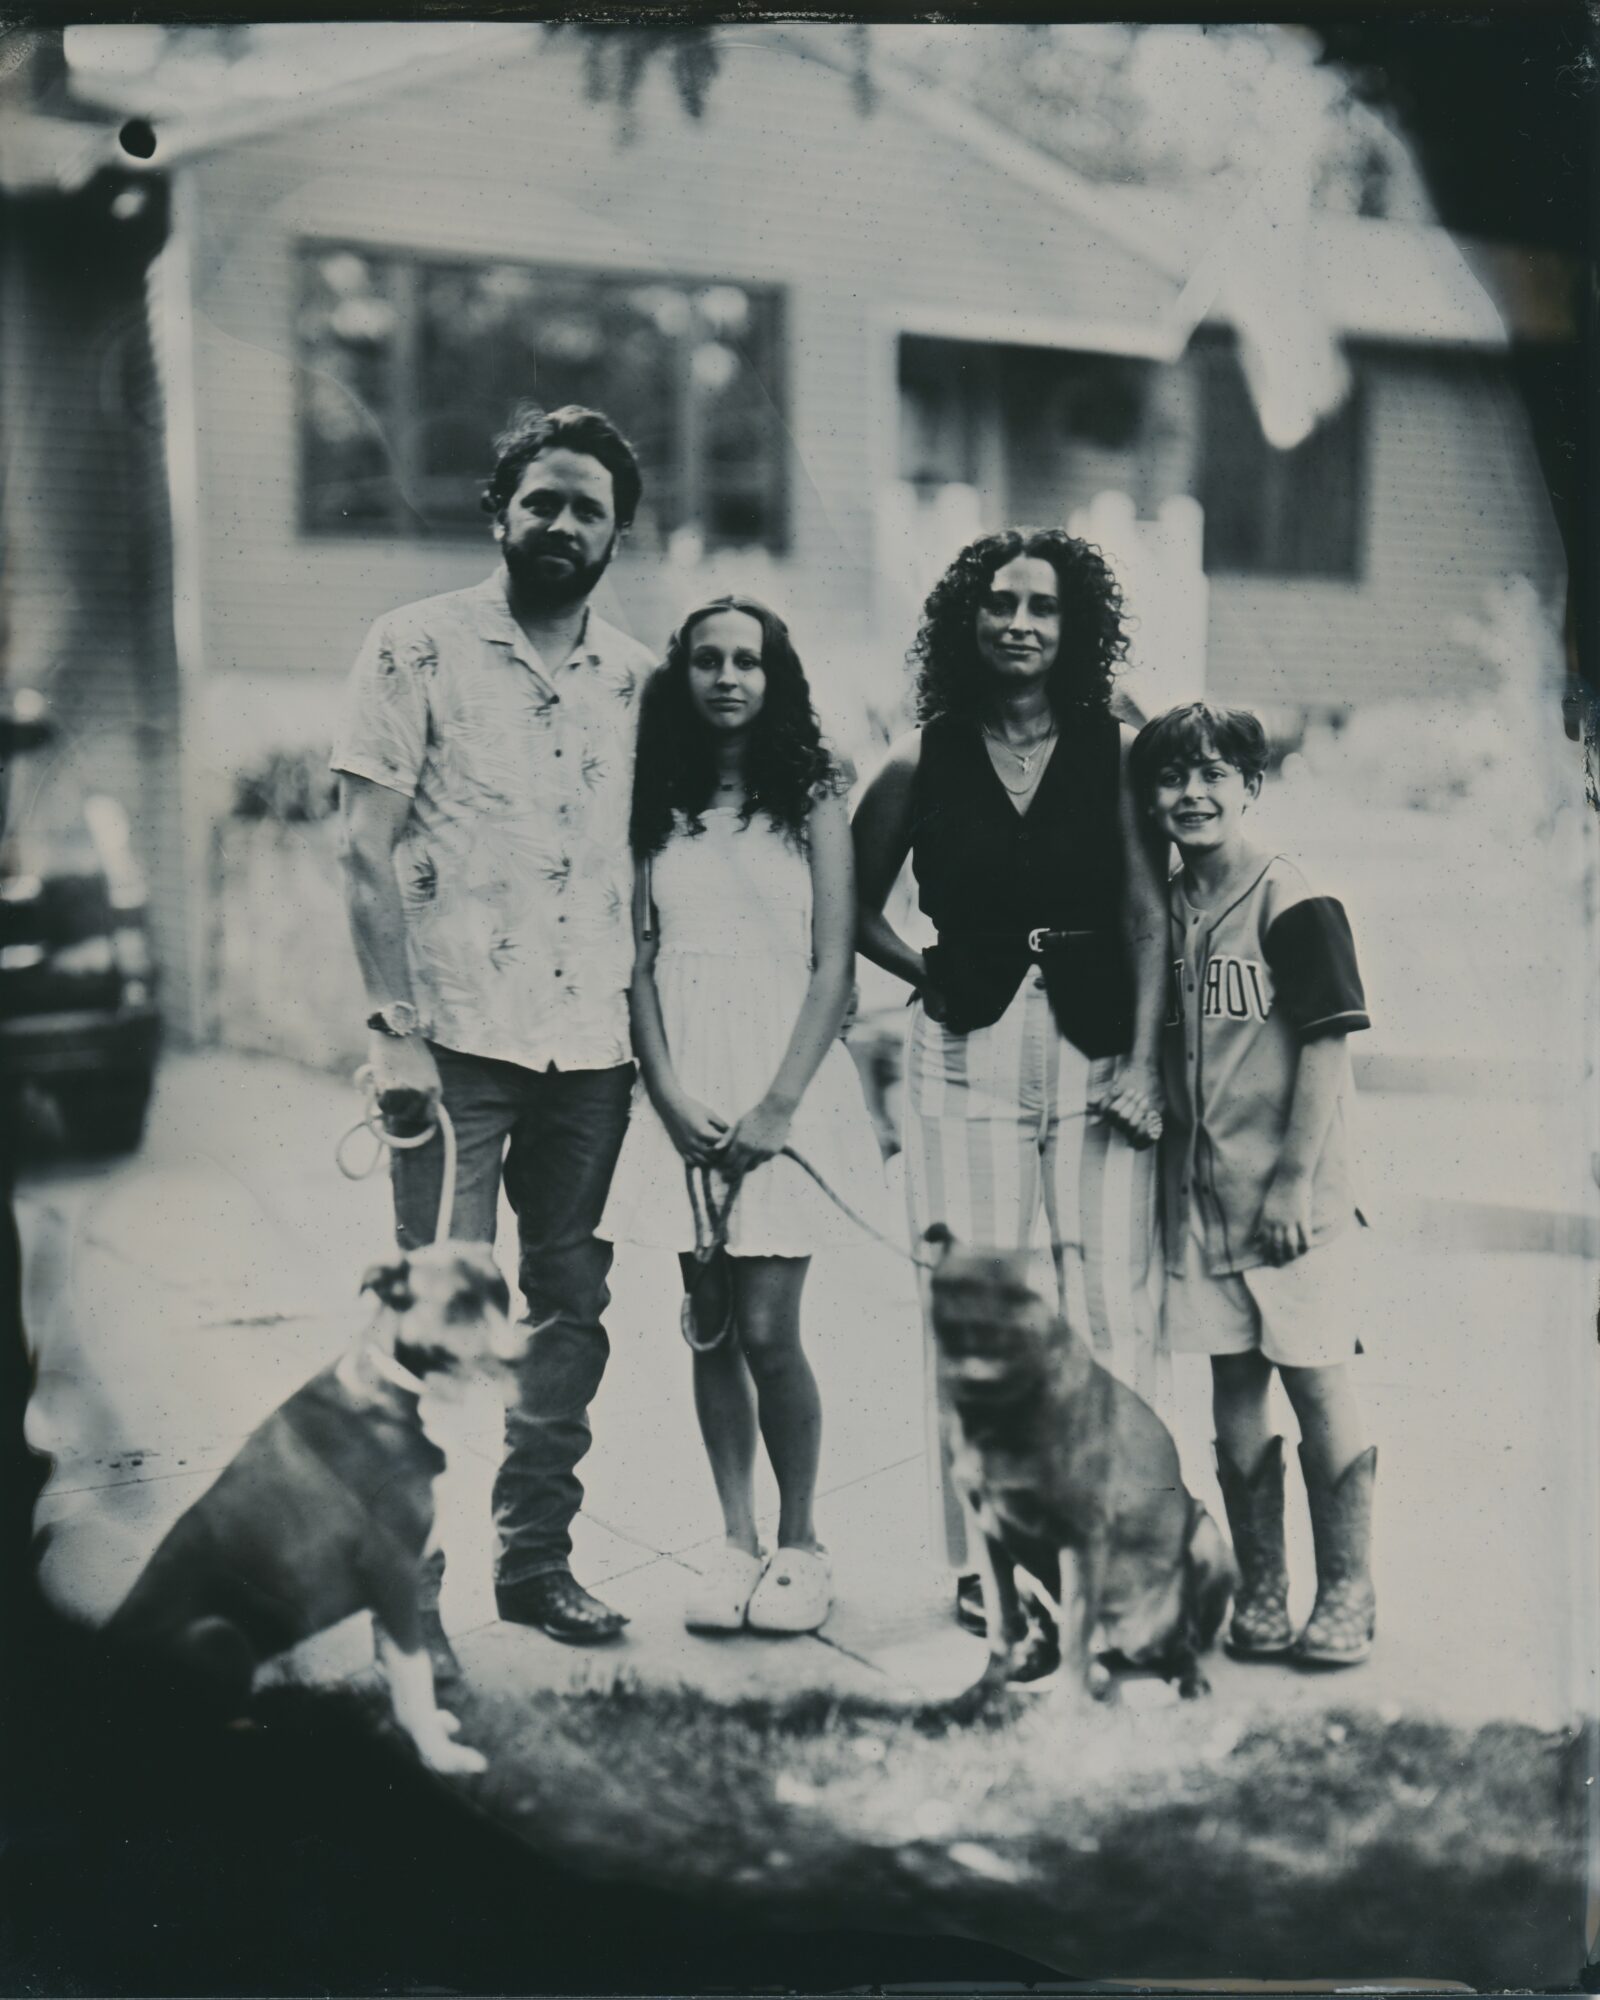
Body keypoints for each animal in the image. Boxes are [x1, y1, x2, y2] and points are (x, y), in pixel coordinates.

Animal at [103, 1244, 523, 1775]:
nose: (522, 1356)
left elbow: (403, 1674)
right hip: (217, 1634)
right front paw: (439, 1754)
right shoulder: (394, 1574)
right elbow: (416, 1672)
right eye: (458, 1303)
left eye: (501, 1294)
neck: (403, 1390)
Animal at [925, 1229, 1235, 1703]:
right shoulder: (989, 1536)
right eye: (950, 1287)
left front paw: (1068, 1707)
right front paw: (983, 1692)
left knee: (1180, 1639)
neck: (998, 1415)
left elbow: (1075, 1634)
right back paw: (1040, 1666)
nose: (976, 1326)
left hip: (1206, 1540)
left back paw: (1180, 1675)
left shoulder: (1080, 1539)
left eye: (1018, 1294)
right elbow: (1002, 1626)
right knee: (1047, 1633)